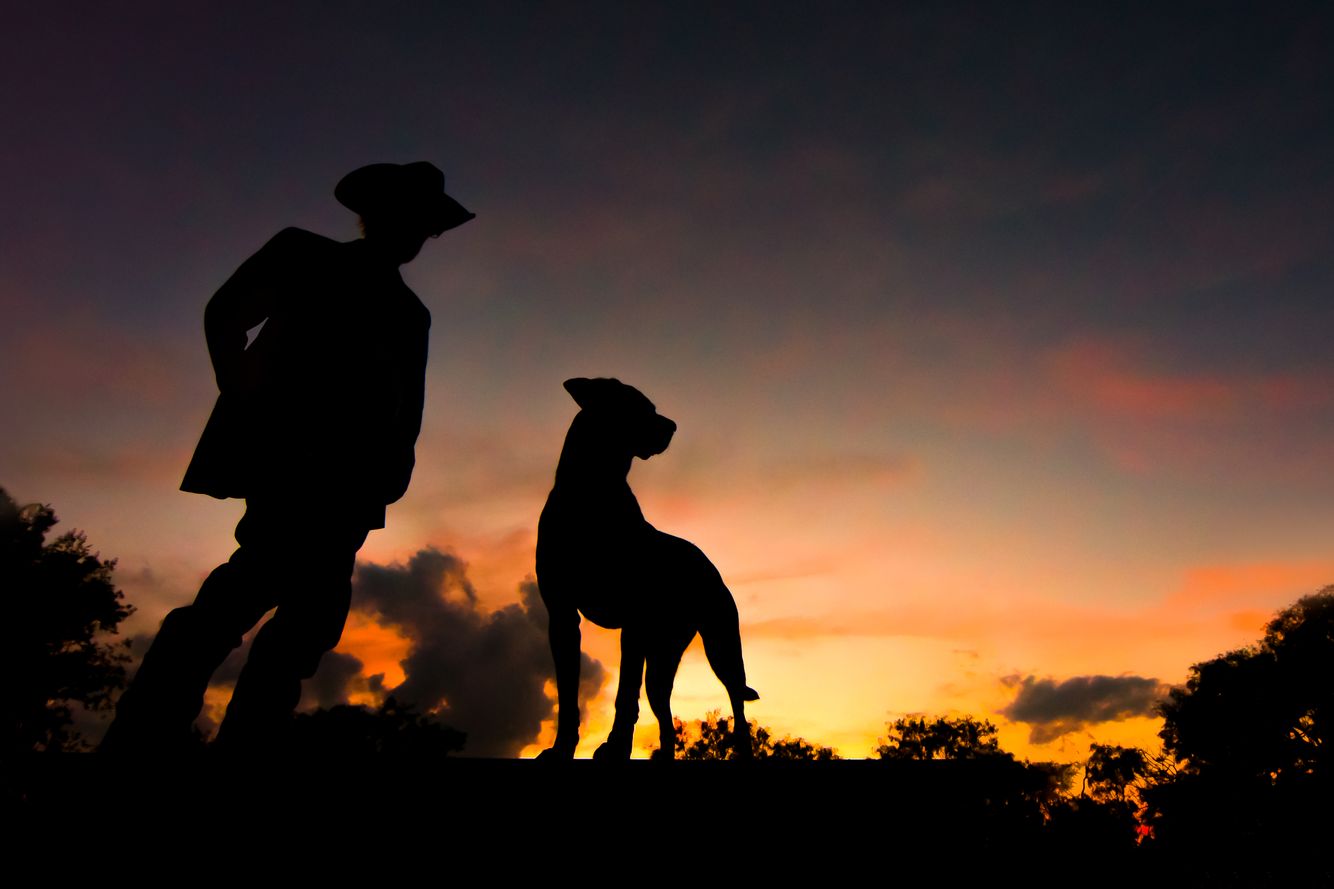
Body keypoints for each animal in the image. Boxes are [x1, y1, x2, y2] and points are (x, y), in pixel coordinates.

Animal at [533, 376, 763, 758]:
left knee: (736, 699)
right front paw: (562, 747)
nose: (673, 426)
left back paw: (743, 748)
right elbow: (568, 693)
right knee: (664, 709)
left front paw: (615, 747)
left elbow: (625, 693)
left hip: (721, 644)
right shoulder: (562, 616)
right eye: (640, 406)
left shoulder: (634, 621)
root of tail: (709, 565)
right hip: (665, 652)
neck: (592, 491)